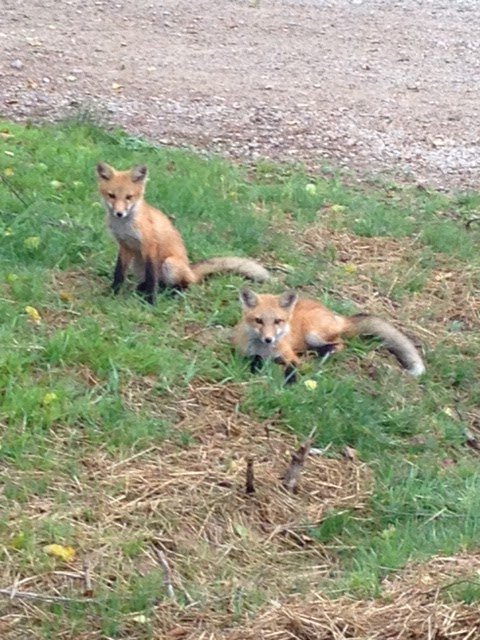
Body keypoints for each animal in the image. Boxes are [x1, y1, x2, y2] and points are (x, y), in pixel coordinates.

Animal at [96, 163, 270, 304]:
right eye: (111, 195)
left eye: (129, 197)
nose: (119, 213)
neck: (125, 226)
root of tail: (191, 271)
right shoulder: (125, 246)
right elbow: (119, 273)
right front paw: (113, 293)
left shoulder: (150, 246)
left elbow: (152, 279)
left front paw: (151, 302)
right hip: (138, 264)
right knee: (156, 283)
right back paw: (143, 289)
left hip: (170, 264)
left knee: (183, 285)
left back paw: (172, 293)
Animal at [233, 289, 426, 384]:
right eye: (258, 321)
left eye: (277, 321)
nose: (269, 339)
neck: (265, 350)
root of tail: (335, 315)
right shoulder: (244, 354)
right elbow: (254, 361)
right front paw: (257, 370)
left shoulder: (291, 357)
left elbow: (292, 368)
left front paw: (290, 382)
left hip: (313, 333)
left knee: (340, 344)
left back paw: (325, 354)